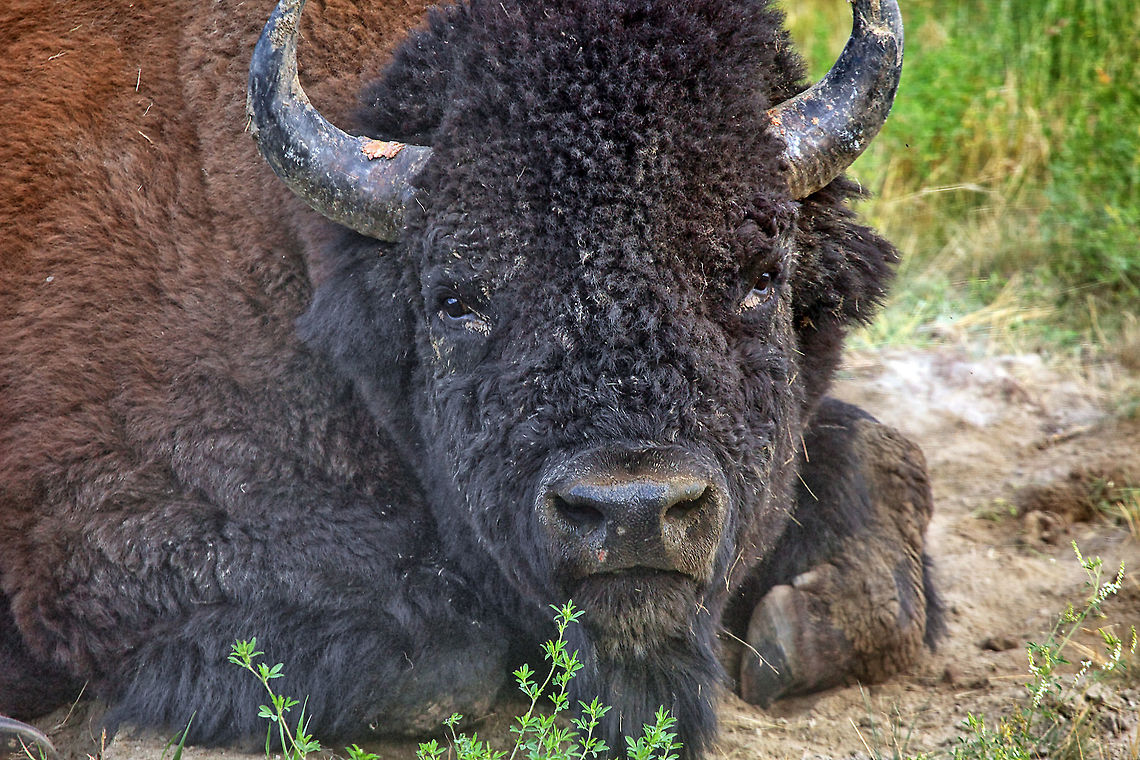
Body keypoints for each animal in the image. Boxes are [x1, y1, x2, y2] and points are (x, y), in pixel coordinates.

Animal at [0, 0, 938, 756]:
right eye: (456, 298)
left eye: (760, 274)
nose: (633, 512)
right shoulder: (111, 518)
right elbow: (447, 663)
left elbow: (881, 454)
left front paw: (800, 625)